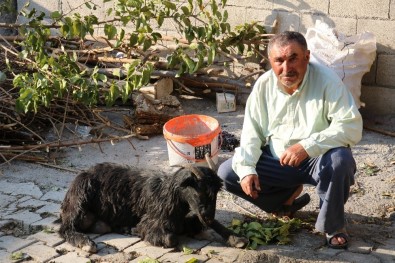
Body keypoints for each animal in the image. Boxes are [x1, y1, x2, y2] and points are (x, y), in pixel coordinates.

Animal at [58, 162, 248, 253]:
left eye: (216, 193)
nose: (208, 215)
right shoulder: (151, 222)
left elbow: (212, 224)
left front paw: (236, 238)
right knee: (65, 229)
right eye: (198, 191)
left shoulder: (195, 216)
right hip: (79, 199)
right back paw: (86, 243)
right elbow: (171, 239)